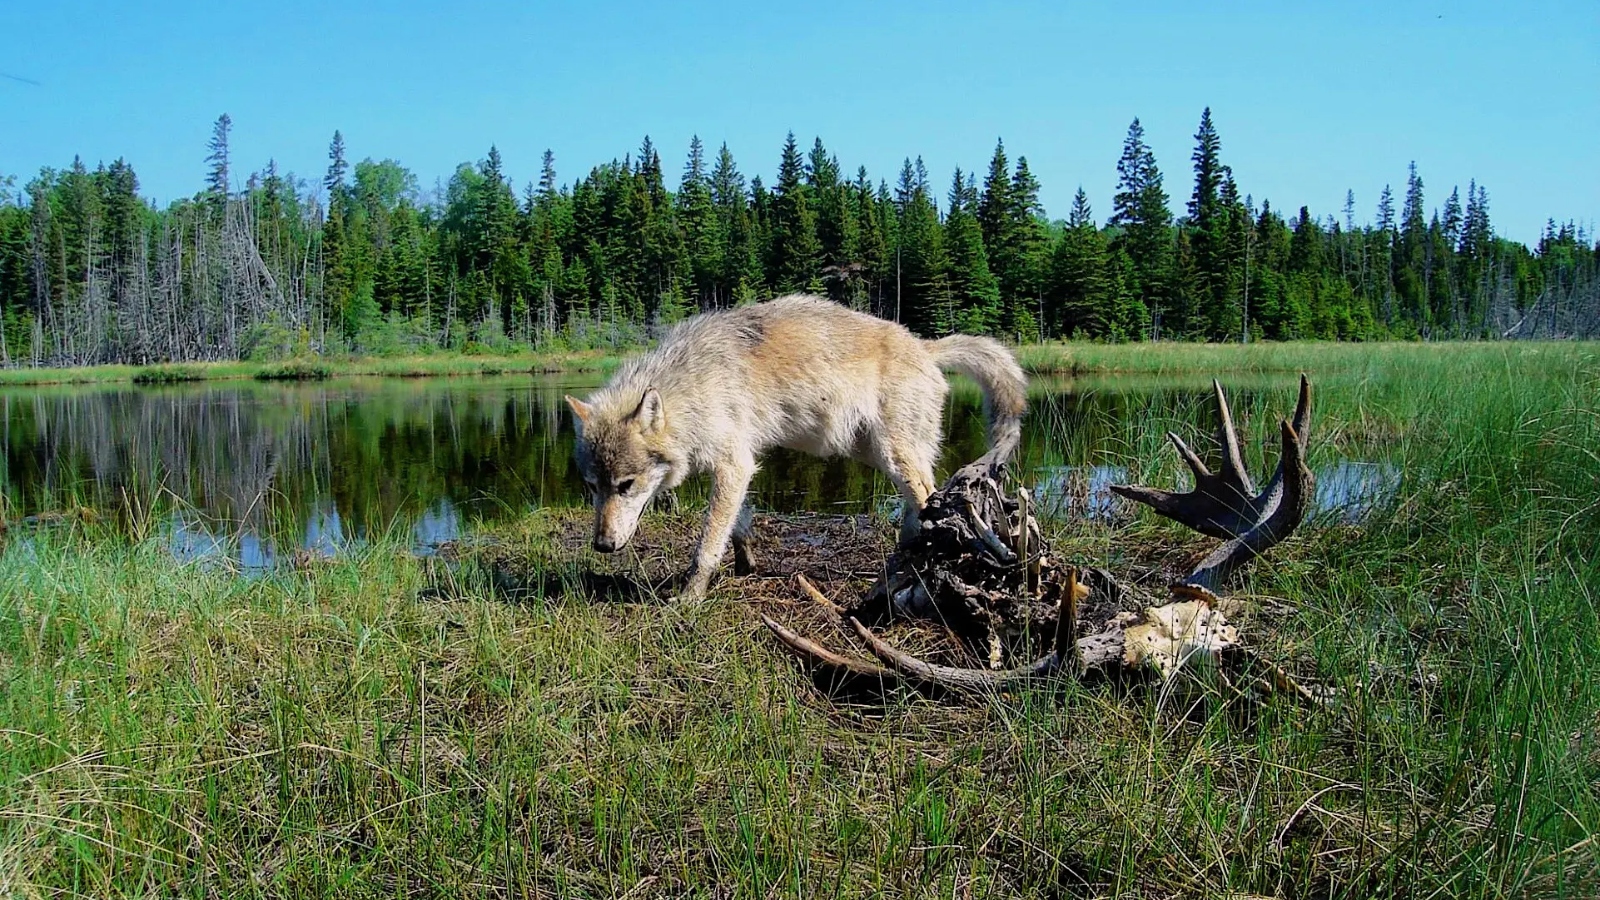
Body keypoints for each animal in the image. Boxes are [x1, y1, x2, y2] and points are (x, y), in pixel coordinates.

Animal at [564, 294, 1027, 600]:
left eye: (625, 486)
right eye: (593, 487)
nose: (602, 546)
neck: (693, 385)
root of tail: (926, 346)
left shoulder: (733, 464)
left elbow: (707, 545)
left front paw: (689, 598)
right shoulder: (741, 466)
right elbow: (738, 527)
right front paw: (746, 566)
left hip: (893, 455)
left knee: (929, 500)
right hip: (874, 452)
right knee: (921, 504)